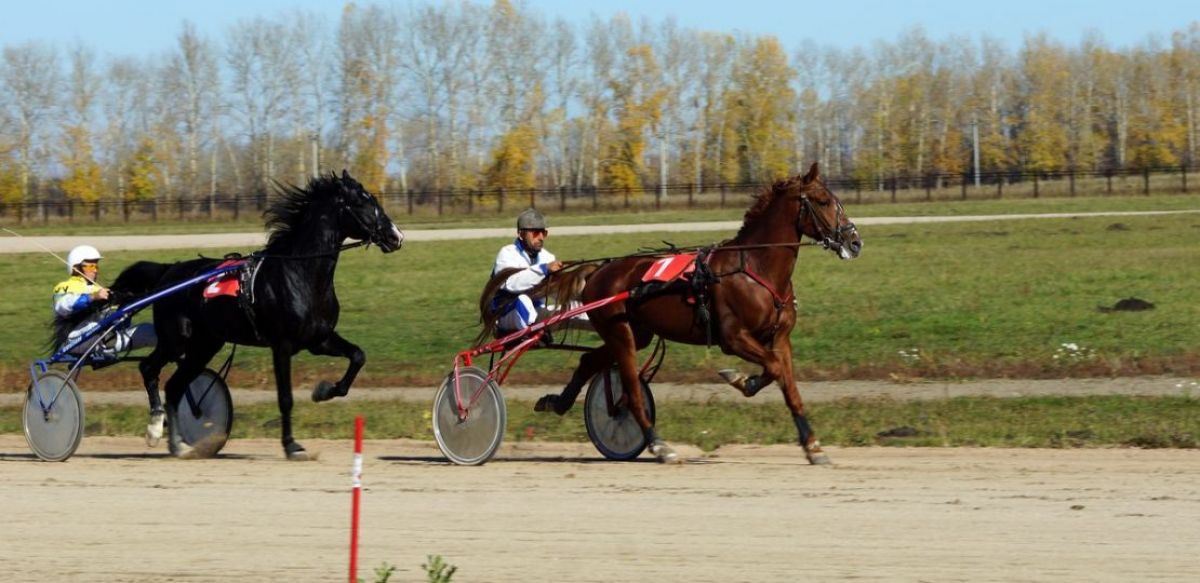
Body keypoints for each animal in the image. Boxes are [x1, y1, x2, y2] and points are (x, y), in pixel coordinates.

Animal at [108, 170, 404, 460]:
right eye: (363, 203)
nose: (396, 236)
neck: (299, 274)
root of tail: (169, 271)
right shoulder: (282, 346)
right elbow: (285, 398)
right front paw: (291, 445)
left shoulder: (319, 340)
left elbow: (357, 356)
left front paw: (323, 391)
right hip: (176, 340)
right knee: (149, 369)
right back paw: (156, 429)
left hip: (204, 345)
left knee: (174, 386)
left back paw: (180, 444)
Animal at [525, 163, 861, 464]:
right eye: (823, 201)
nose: (854, 241)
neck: (755, 267)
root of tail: (600, 270)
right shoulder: (733, 338)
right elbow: (774, 369)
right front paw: (742, 380)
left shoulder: (780, 338)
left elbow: (787, 383)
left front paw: (812, 445)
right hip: (620, 333)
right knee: (632, 389)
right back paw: (658, 444)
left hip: (635, 332)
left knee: (590, 361)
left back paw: (558, 402)